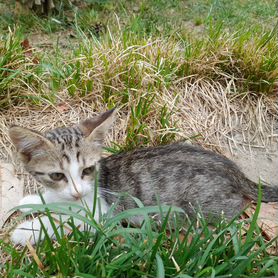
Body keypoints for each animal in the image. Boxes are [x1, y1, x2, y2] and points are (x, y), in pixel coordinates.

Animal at [9, 109, 278, 244]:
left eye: (87, 170)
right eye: (57, 175)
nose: (77, 191)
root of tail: (234, 171)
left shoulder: (101, 215)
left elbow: (67, 221)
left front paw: (26, 230)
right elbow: (55, 200)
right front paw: (32, 201)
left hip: (205, 205)